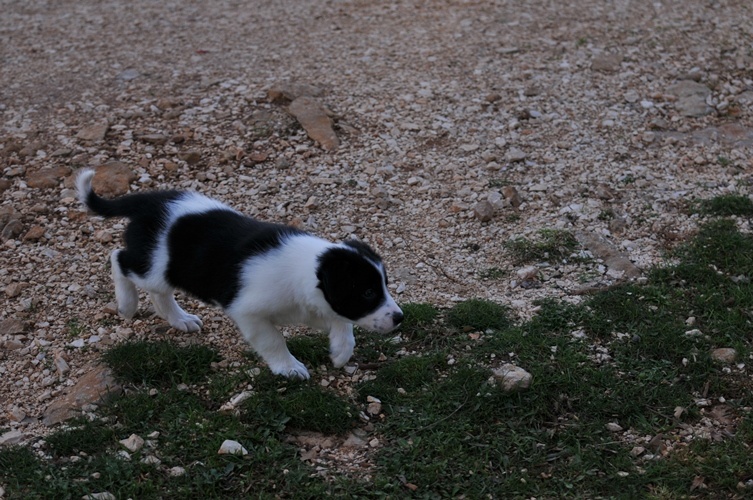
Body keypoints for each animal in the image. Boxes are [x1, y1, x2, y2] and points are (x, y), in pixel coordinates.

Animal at [76, 169, 402, 378]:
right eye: (368, 292)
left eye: (384, 286)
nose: (399, 318)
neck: (307, 269)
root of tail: (147, 201)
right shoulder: (249, 312)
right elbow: (274, 340)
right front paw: (289, 368)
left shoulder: (322, 304)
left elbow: (343, 323)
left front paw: (340, 352)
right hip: (153, 266)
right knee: (119, 258)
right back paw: (127, 304)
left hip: (166, 271)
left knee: (158, 293)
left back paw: (180, 320)